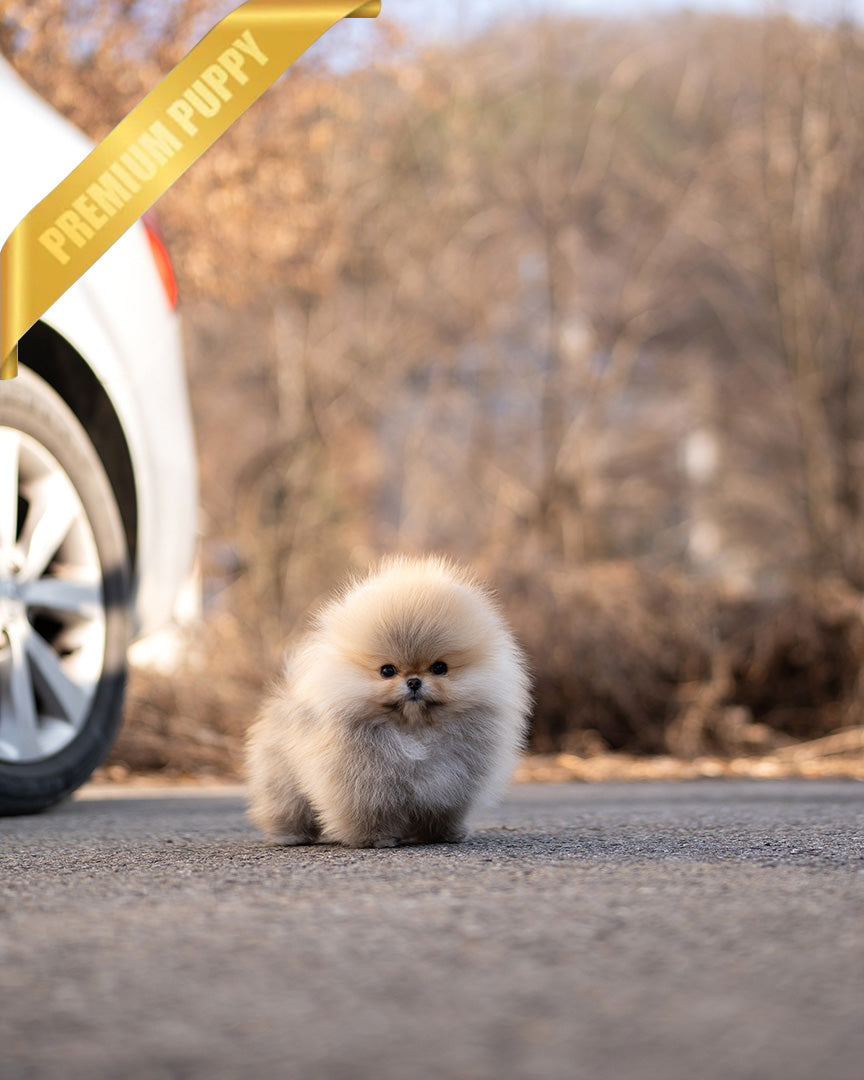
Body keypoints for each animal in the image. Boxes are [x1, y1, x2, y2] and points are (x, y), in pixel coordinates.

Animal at [245, 557, 533, 851]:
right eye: (387, 671)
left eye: (440, 668)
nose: (414, 681)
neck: (416, 733)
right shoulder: (361, 787)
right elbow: (370, 813)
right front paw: (377, 838)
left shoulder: (453, 784)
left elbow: (444, 811)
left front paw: (443, 834)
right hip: (282, 777)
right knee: (286, 805)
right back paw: (290, 836)